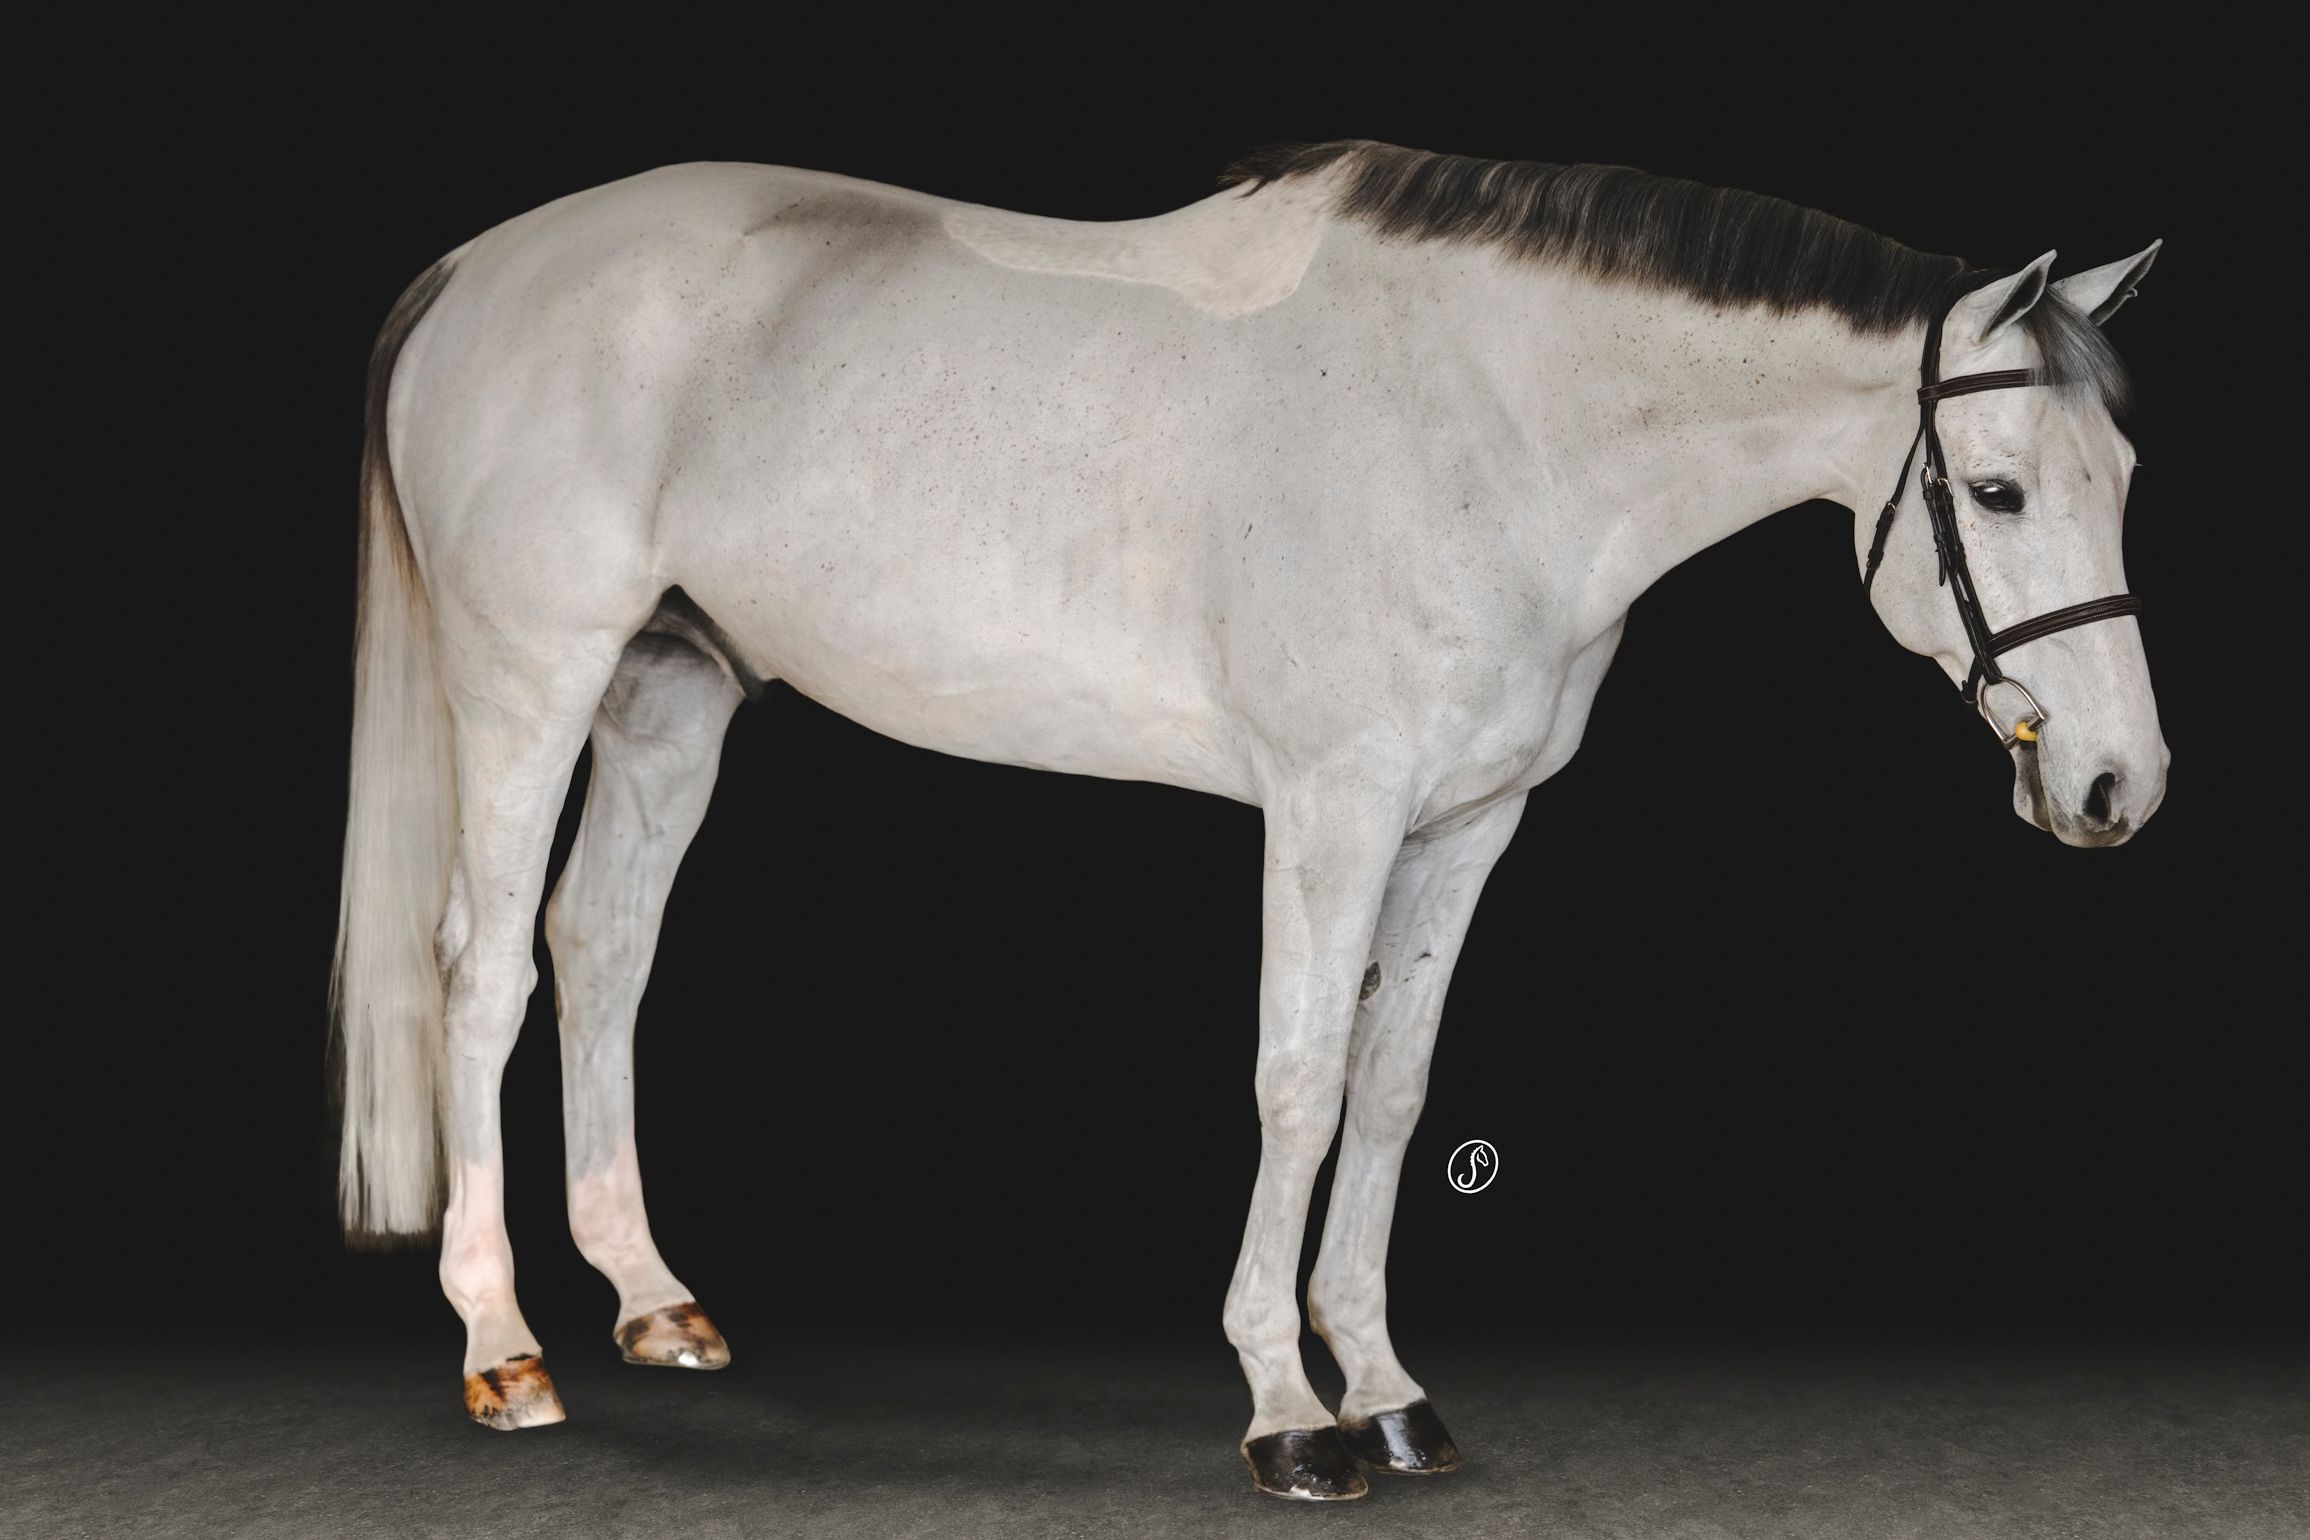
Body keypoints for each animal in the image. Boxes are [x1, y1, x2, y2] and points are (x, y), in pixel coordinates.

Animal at [332, 139, 2164, 1501]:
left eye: (2125, 478)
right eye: (1996, 489)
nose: (2116, 787)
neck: (1480, 422)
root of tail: (475, 268)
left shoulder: (1466, 826)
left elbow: (1395, 1089)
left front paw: (1394, 1393)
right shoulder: (1332, 808)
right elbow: (1296, 1078)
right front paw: (1291, 1412)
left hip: (669, 692)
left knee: (601, 951)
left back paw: (653, 1306)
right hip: (530, 680)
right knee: (481, 973)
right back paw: (504, 1350)